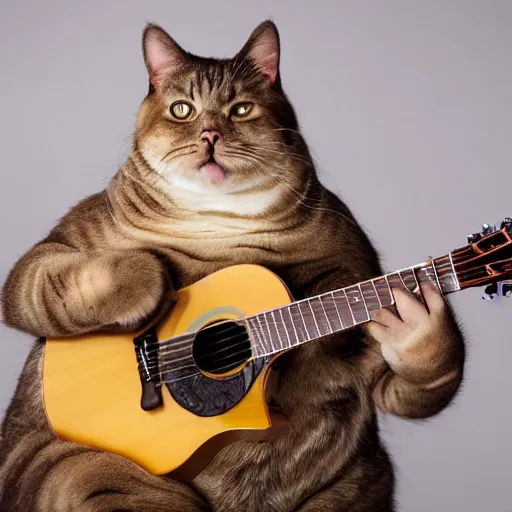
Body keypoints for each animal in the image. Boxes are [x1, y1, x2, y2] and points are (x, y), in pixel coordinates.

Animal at [0, 20, 464, 512]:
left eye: (240, 110)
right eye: (182, 110)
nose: (209, 135)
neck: (222, 221)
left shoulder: (358, 287)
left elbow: (412, 377)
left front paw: (420, 316)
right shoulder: (43, 259)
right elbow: (64, 280)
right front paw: (153, 281)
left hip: (360, 482)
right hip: (87, 474)